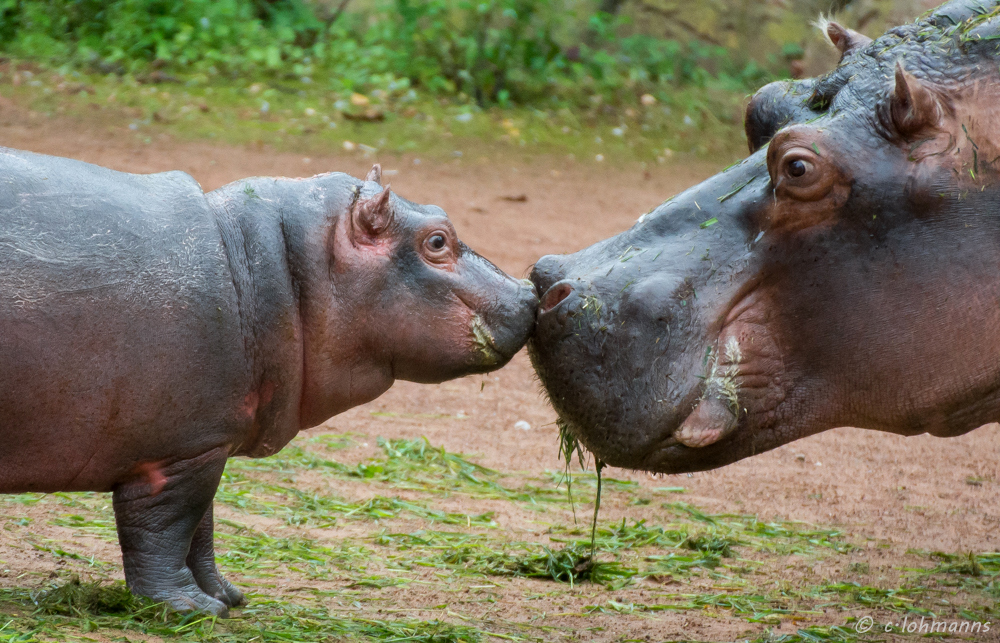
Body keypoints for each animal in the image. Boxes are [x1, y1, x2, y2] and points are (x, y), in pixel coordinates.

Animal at [0, 148, 540, 616]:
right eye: (437, 240)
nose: (531, 290)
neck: (261, 264)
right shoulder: (179, 451)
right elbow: (166, 528)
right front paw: (190, 608)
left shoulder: (209, 442)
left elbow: (202, 529)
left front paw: (227, 596)